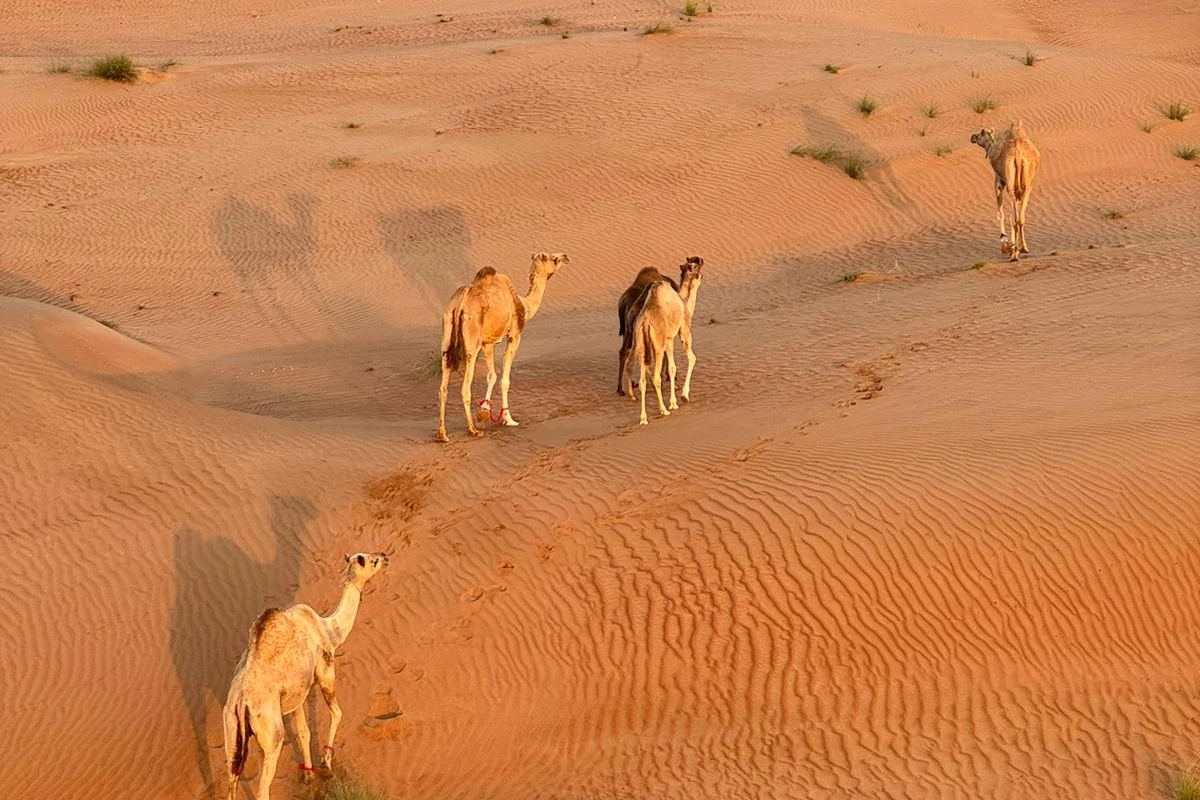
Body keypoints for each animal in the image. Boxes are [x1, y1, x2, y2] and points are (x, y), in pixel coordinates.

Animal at [224, 551, 388, 800]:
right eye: (371, 560)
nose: (385, 556)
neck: (329, 628)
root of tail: (242, 703)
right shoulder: (326, 671)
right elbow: (337, 713)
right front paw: (326, 765)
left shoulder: (297, 694)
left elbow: (304, 732)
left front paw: (309, 775)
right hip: (271, 731)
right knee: (263, 788)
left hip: (231, 729)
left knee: (232, 779)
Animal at [439, 253, 568, 441]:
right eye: (553, 258)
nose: (565, 256)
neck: (523, 304)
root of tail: (460, 303)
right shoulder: (514, 335)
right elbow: (504, 380)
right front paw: (508, 419)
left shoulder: (488, 342)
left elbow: (491, 375)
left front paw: (484, 412)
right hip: (471, 341)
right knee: (465, 387)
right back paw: (472, 430)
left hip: (447, 337)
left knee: (443, 387)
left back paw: (442, 434)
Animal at [628, 261, 700, 424]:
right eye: (697, 271)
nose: (701, 275)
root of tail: (645, 322)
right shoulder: (679, 333)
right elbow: (686, 361)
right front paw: (680, 398)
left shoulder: (668, 340)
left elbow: (672, 367)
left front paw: (674, 400)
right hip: (658, 345)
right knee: (656, 377)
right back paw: (663, 410)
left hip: (641, 345)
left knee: (642, 380)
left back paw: (643, 418)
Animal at [964, 120, 1041, 261]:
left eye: (979, 134)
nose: (972, 136)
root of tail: (1017, 154)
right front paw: (1013, 246)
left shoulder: (999, 182)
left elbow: (1000, 213)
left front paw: (1005, 245)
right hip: (1027, 186)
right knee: (1020, 217)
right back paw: (1023, 248)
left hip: (1011, 184)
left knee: (1014, 217)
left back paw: (1014, 254)